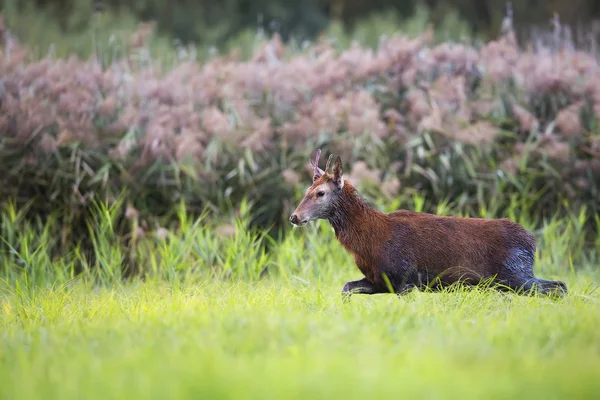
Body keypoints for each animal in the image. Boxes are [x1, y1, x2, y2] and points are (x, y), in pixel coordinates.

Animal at [290, 149, 568, 296]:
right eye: (306, 190)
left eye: (320, 193)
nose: (294, 216)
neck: (369, 240)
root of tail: (532, 241)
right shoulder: (380, 280)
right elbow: (346, 288)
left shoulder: (406, 277)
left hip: (515, 274)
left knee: (559, 286)